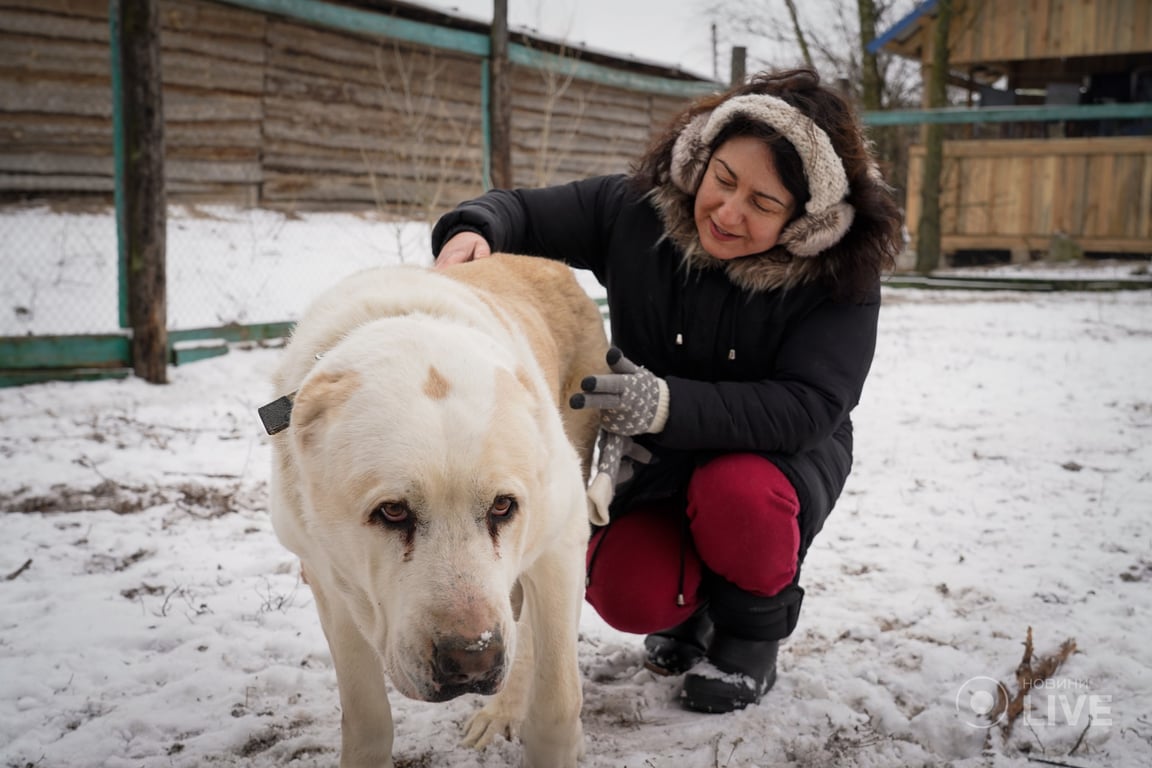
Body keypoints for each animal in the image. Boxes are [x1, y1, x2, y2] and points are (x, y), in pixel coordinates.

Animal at [260, 255, 603, 764]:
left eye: (503, 505)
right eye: (392, 512)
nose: (473, 658)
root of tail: (549, 263)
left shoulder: (562, 542)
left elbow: (556, 702)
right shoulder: (327, 577)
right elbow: (365, 716)